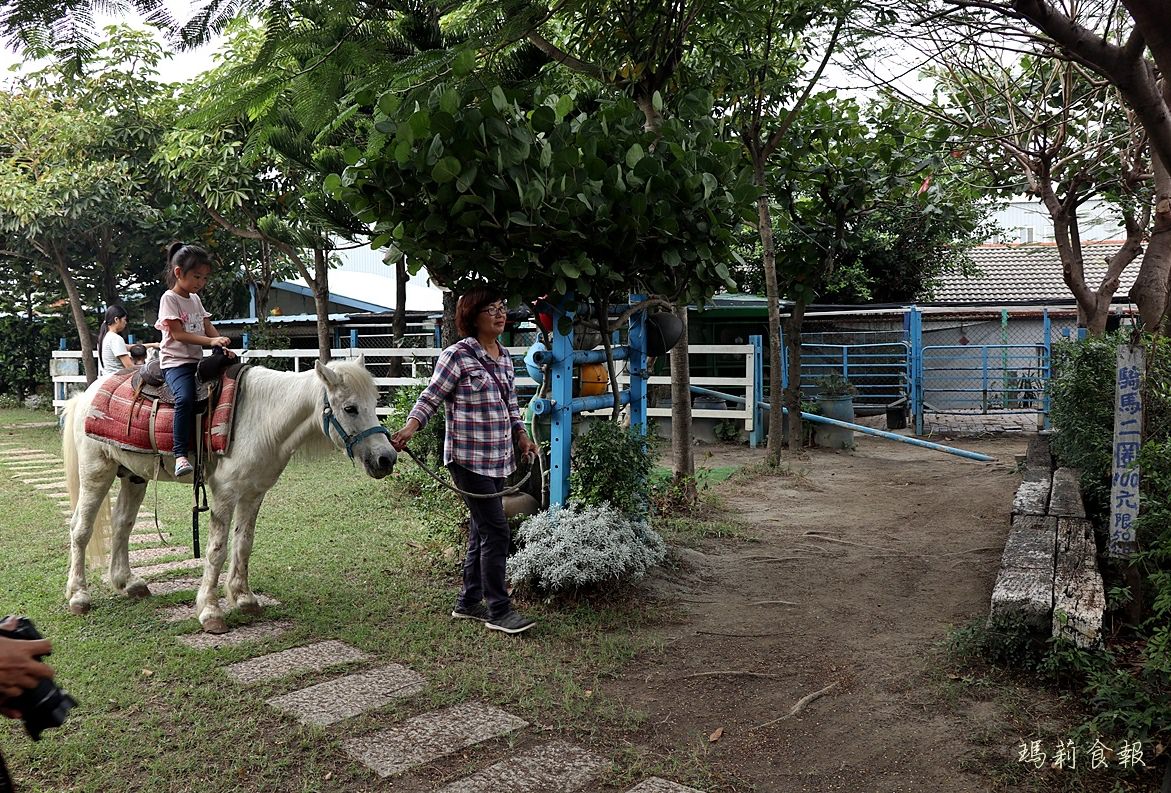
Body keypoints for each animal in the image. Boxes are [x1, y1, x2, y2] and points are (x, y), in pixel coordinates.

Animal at [61, 356, 395, 632]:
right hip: (96, 471)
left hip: (134, 476)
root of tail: (86, 394)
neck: (263, 418)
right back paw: (79, 596)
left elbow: (244, 544)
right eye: (350, 408)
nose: (386, 458)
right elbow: (216, 550)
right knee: (81, 528)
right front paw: (210, 611)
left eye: (375, 401)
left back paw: (127, 583)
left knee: (122, 523)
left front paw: (244, 598)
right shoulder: (224, 493)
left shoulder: (254, 493)